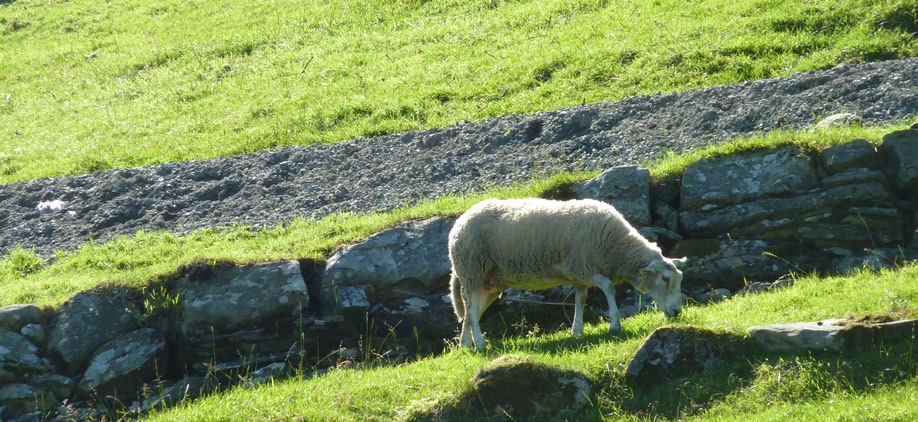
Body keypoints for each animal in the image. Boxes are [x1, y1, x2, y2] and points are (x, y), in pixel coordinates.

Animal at [450, 198, 688, 350]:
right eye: (665, 279)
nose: (677, 312)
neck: (614, 246)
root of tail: (459, 223)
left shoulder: (580, 273)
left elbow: (580, 300)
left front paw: (577, 330)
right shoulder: (581, 266)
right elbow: (609, 287)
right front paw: (614, 324)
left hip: (488, 282)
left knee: (471, 313)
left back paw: (466, 346)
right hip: (472, 270)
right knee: (472, 312)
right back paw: (481, 345)